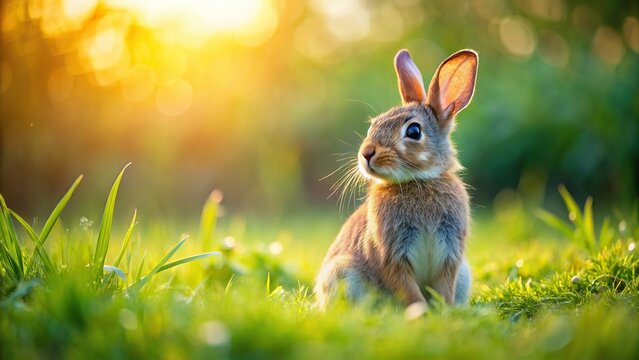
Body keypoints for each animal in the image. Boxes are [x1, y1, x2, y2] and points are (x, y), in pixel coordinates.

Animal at [318, 49, 478, 310]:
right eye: (373, 125)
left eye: (414, 131)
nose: (366, 153)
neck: (418, 181)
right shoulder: (391, 254)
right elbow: (408, 290)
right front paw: (421, 312)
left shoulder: (450, 254)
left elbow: (444, 288)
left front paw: (442, 310)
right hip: (343, 273)